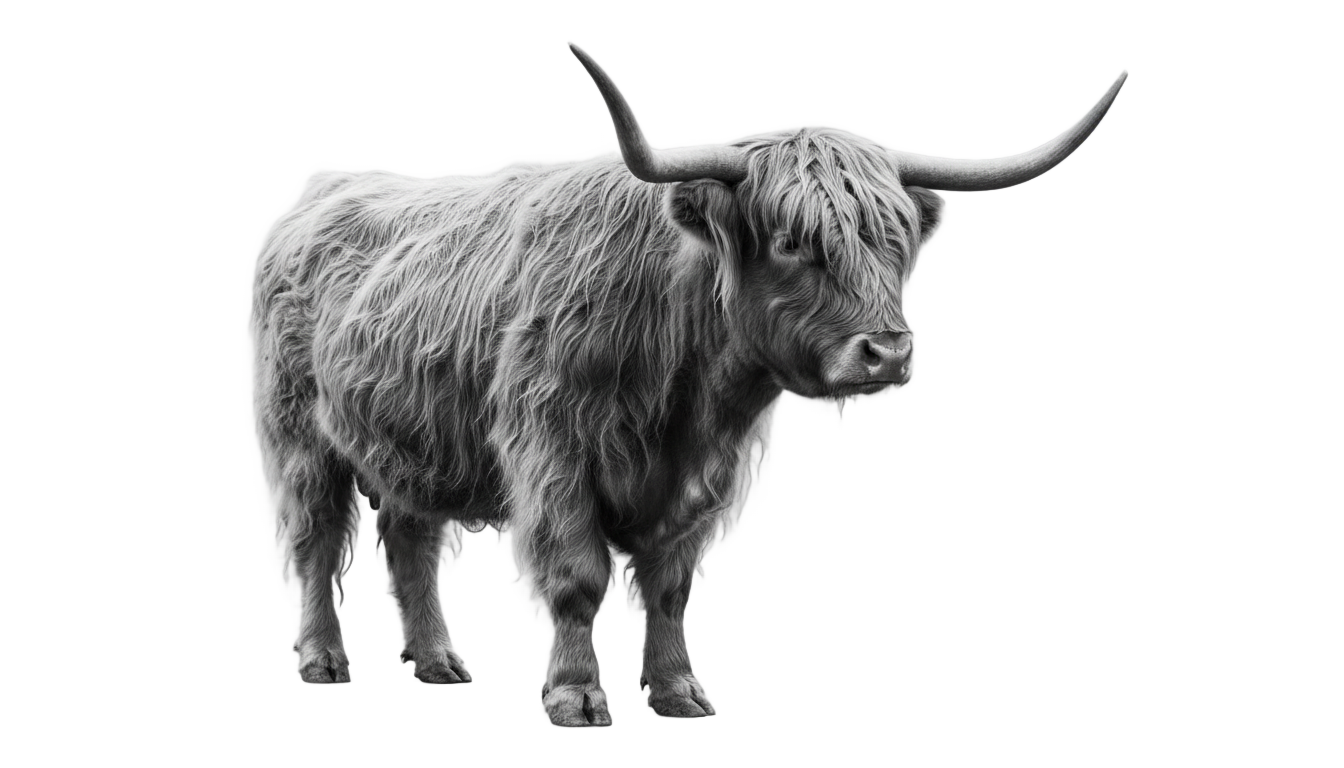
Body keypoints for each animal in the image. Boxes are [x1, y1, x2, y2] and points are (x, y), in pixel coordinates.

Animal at [253, 42, 1126, 726]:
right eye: (790, 240)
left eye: (895, 239)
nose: (885, 354)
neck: (682, 386)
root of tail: (325, 198)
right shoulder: (553, 452)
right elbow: (576, 578)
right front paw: (576, 697)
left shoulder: (702, 473)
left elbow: (671, 586)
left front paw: (677, 693)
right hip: (303, 438)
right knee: (316, 541)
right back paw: (324, 658)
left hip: (406, 443)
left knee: (408, 539)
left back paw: (436, 660)